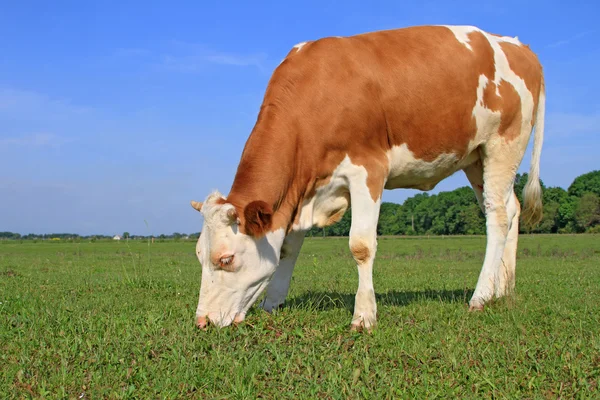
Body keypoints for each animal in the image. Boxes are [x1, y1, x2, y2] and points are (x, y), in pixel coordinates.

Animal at [190, 25, 548, 332]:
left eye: (226, 259)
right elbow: (288, 249)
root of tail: (520, 46)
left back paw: (481, 296)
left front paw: (363, 317)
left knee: (497, 217)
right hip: (476, 159)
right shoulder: (305, 188)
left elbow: (360, 246)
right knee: (510, 209)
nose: (202, 321)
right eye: (198, 255)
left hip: (503, 144)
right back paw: (504, 288)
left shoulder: (368, 169)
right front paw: (272, 305)